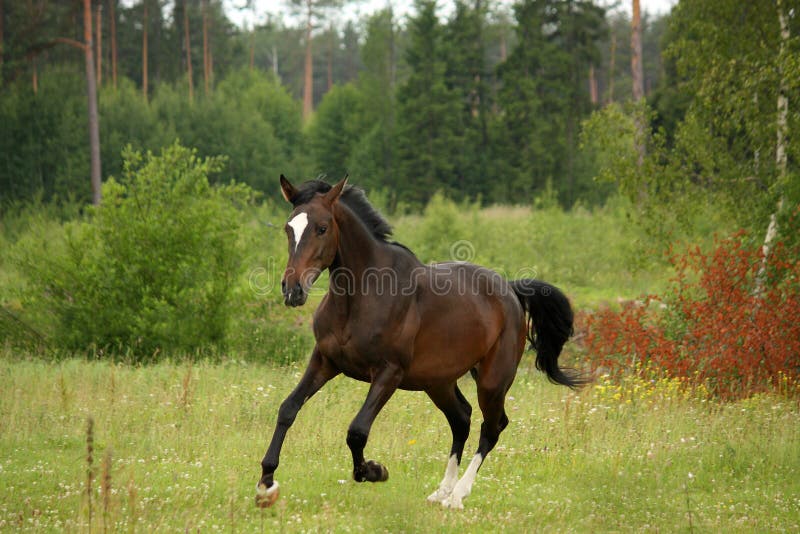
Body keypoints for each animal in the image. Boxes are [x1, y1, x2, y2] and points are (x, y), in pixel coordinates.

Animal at [256, 176, 588, 510]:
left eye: (322, 228)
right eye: (288, 228)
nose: (292, 289)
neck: (362, 296)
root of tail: (510, 290)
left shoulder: (389, 372)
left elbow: (357, 431)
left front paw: (375, 471)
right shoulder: (324, 361)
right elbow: (288, 409)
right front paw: (266, 485)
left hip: (493, 380)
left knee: (492, 427)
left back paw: (457, 496)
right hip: (438, 382)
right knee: (462, 419)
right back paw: (441, 491)